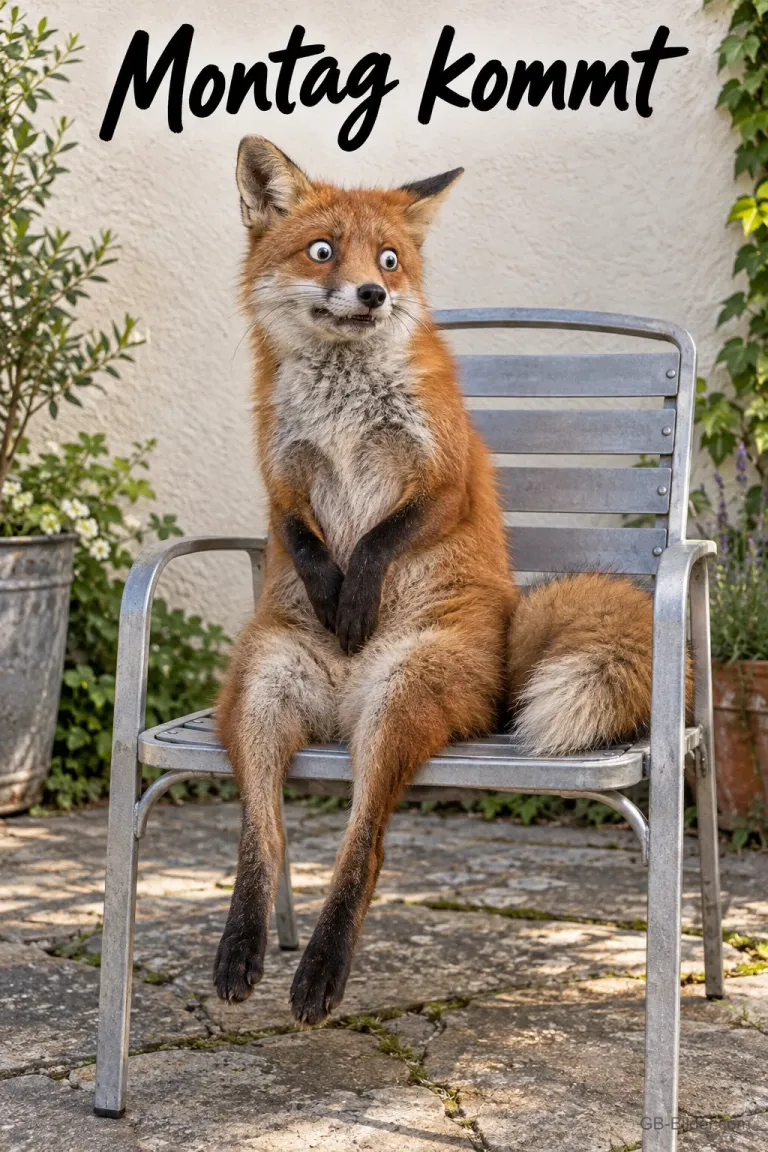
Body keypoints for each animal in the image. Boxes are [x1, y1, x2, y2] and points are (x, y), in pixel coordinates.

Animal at [214, 135, 657, 1026]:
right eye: (323, 252)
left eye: (390, 258)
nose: (374, 293)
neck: (343, 406)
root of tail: (342, 702)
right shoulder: (282, 485)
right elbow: (307, 539)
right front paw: (330, 589)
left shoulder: (446, 479)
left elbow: (382, 538)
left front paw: (355, 595)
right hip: (265, 686)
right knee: (264, 834)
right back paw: (244, 947)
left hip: (403, 691)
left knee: (367, 843)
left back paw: (320, 971)